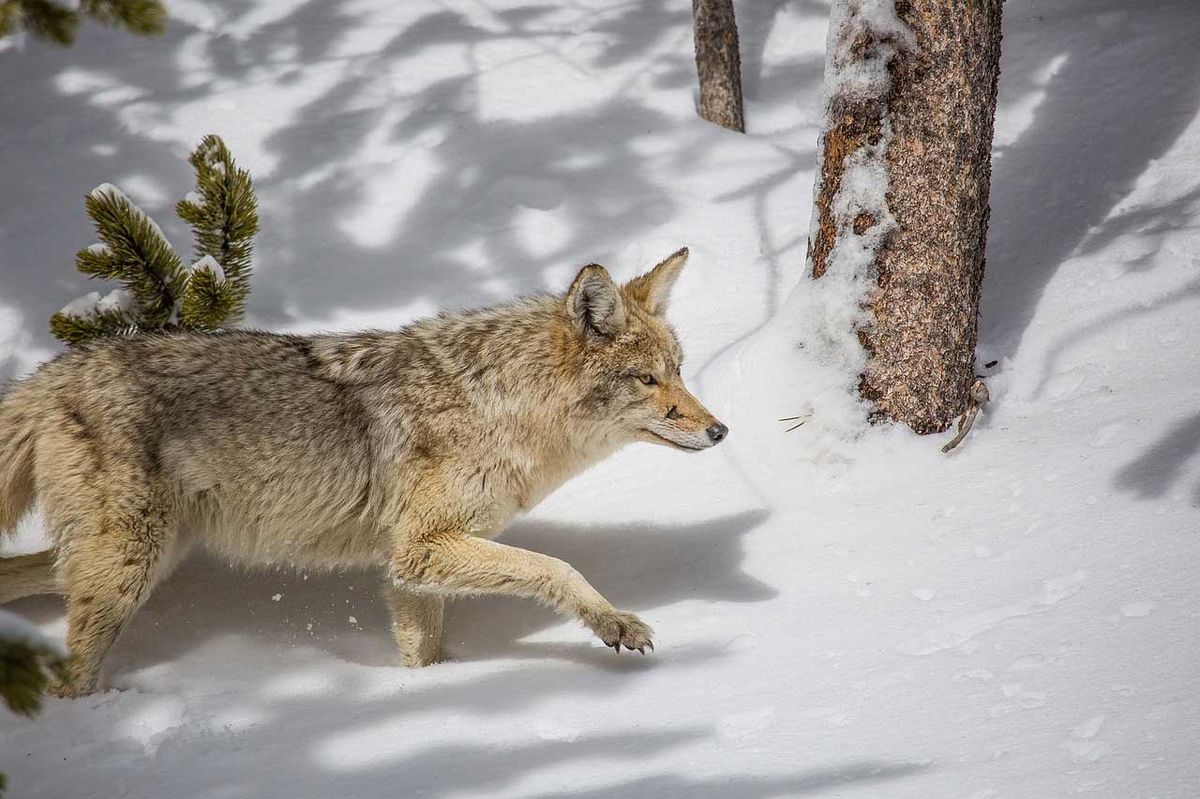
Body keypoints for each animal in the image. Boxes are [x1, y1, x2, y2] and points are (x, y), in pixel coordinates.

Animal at [0, 248, 727, 696]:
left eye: (680, 371)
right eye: (648, 379)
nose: (720, 430)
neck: (500, 404)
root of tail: (49, 375)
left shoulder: (409, 570)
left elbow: (423, 652)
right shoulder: (421, 548)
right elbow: (557, 567)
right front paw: (614, 623)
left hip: (131, 560)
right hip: (127, 571)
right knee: (71, 679)